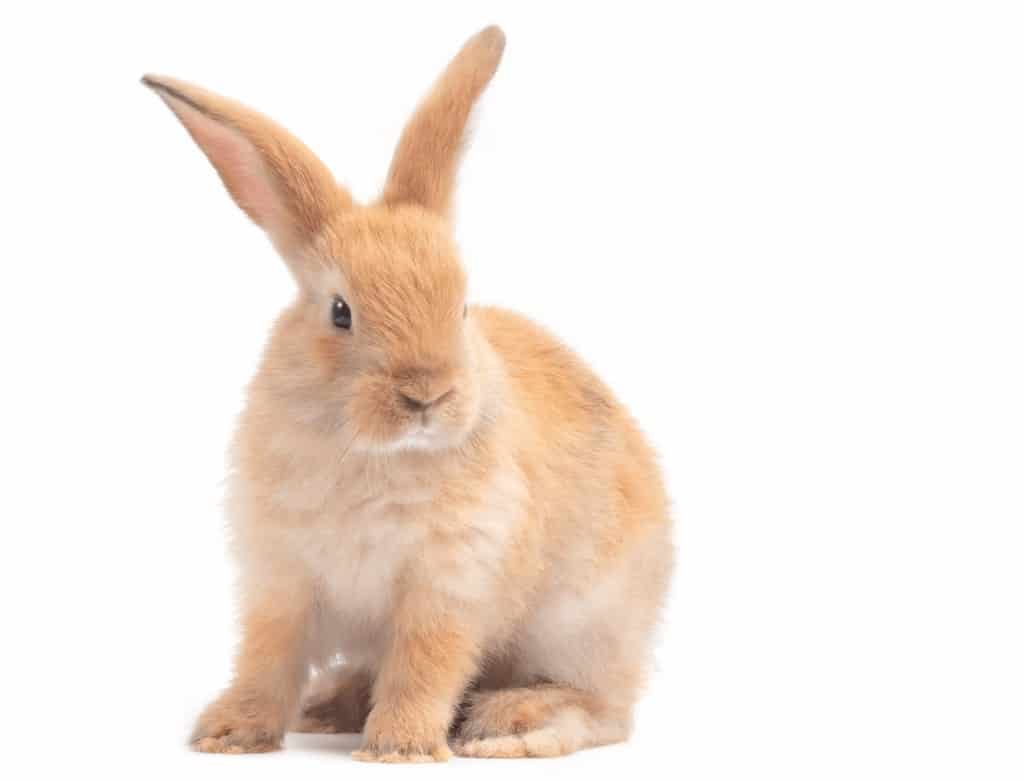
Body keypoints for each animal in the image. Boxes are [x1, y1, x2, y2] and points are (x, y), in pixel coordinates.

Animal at [143, 25, 673, 762]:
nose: (427, 395)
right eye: (341, 312)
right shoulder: (282, 581)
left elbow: (426, 663)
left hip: (583, 623)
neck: (373, 454)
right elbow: (266, 658)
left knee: (606, 712)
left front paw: (400, 746)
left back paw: (509, 725)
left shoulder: (447, 586)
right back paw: (330, 704)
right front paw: (229, 733)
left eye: (461, 308)